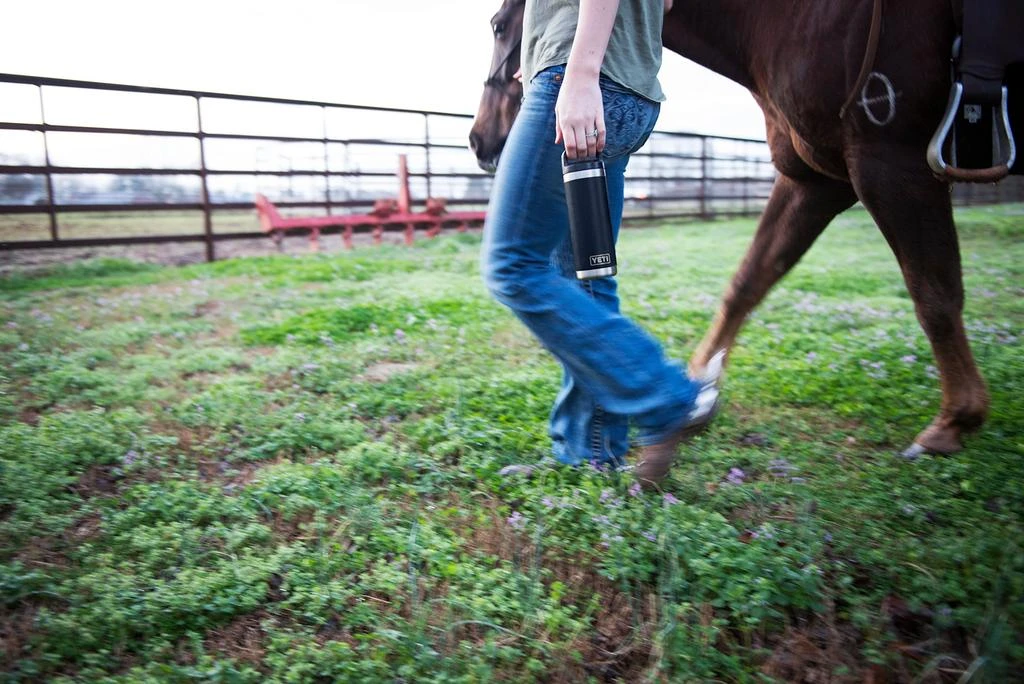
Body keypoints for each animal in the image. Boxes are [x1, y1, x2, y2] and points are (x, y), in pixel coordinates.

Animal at [471, 2, 991, 458]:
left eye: (497, 26)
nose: (478, 140)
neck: (797, 20)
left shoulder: (892, 164)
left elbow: (934, 295)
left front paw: (954, 421)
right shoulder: (816, 181)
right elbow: (748, 281)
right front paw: (699, 386)